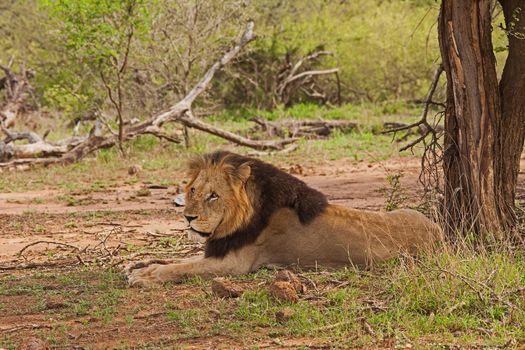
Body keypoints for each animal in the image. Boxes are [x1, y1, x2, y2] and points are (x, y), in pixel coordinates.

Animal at [125, 151, 440, 288]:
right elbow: (179, 260)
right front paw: (141, 265)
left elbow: (183, 268)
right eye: (193, 190)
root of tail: (439, 234)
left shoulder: (234, 264)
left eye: (213, 196)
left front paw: (144, 276)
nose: (188, 217)